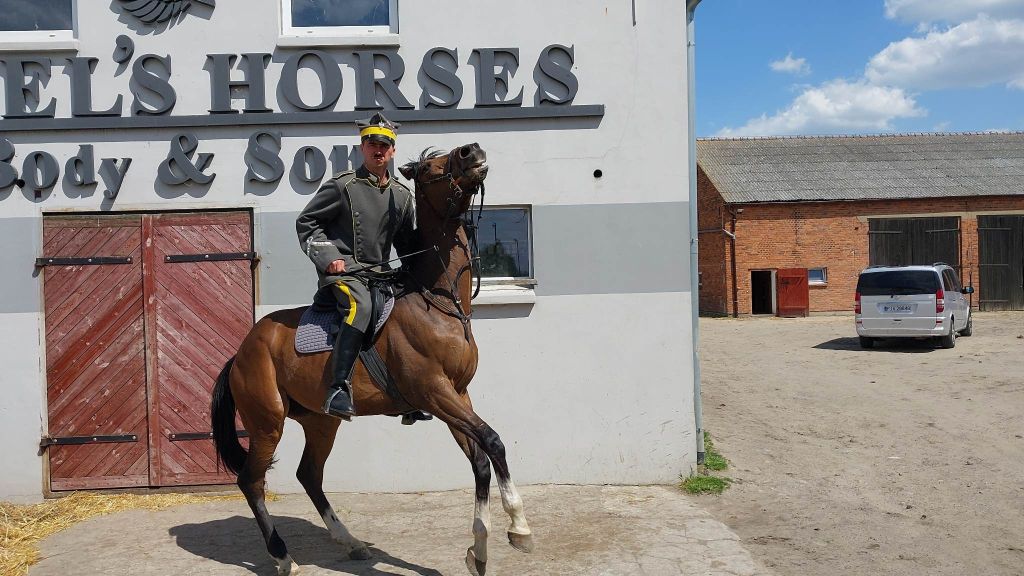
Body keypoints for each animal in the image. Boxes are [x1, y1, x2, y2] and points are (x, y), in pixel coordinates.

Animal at [210, 143, 532, 576]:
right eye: (428, 169)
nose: (472, 151)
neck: (437, 302)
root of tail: (241, 352)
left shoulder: (458, 395)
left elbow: (480, 459)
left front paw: (479, 549)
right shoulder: (435, 392)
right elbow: (494, 442)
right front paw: (518, 527)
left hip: (321, 422)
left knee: (308, 474)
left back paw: (350, 542)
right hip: (267, 424)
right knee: (251, 481)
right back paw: (283, 557)